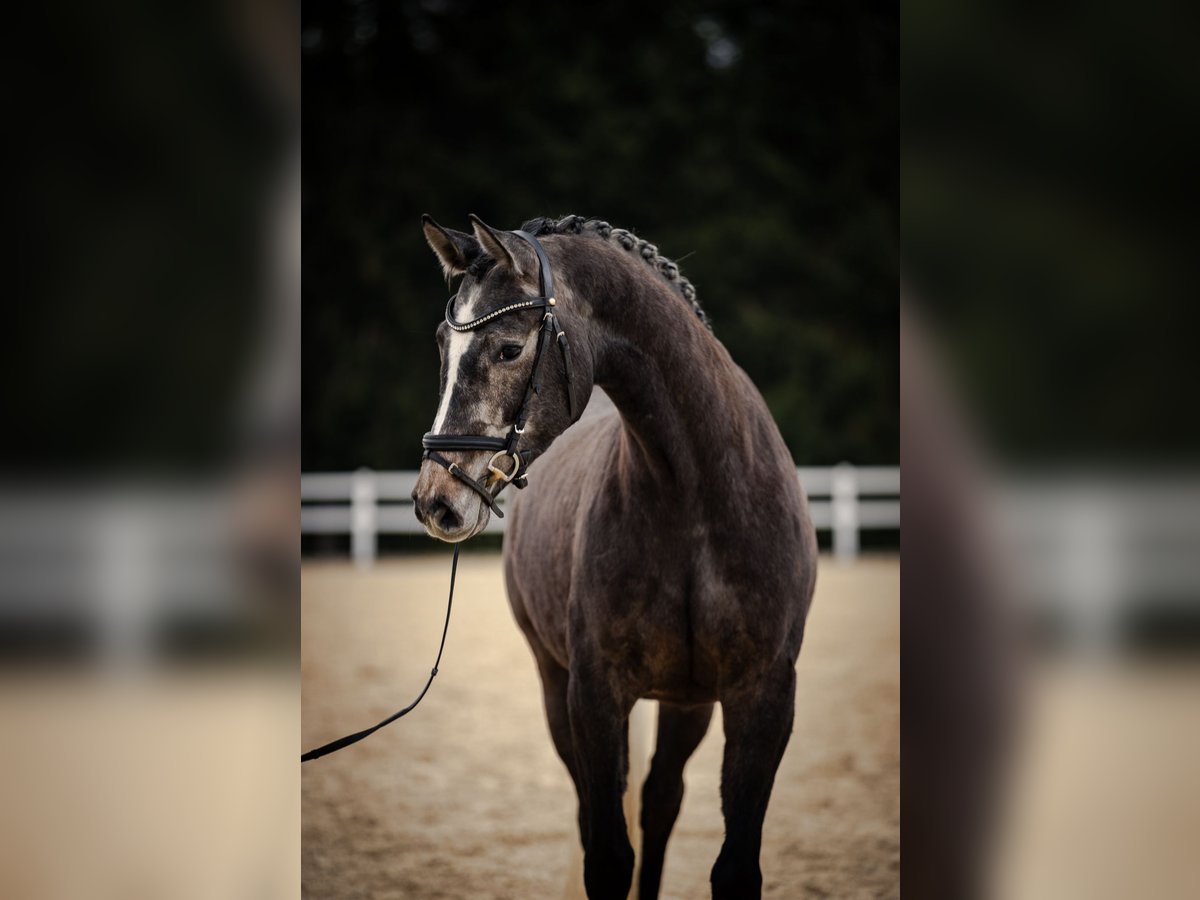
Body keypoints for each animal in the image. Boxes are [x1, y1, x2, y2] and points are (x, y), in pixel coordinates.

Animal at [410, 213, 816, 900]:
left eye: (509, 349)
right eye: (443, 346)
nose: (435, 501)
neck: (694, 500)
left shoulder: (764, 697)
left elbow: (733, 866)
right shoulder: (594, 696)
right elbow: (605, 856)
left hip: (687, 703)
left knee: (659, 802)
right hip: (556, 685)